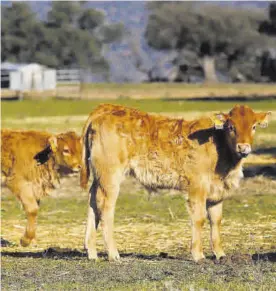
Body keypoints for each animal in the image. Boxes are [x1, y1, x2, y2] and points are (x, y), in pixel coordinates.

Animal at [81, 104, 270, 262]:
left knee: (92, 202)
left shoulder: (216, 192)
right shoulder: (197, 188)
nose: (243, 148)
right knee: (105, 208)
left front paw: (220, 254)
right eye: (231, 127)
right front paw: (198, 255)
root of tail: (105, 108)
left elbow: (216, 220)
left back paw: (92, 253)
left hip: (99, 177)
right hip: (110, 176)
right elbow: (199, 219)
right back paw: (113, 254)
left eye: (254, 127)